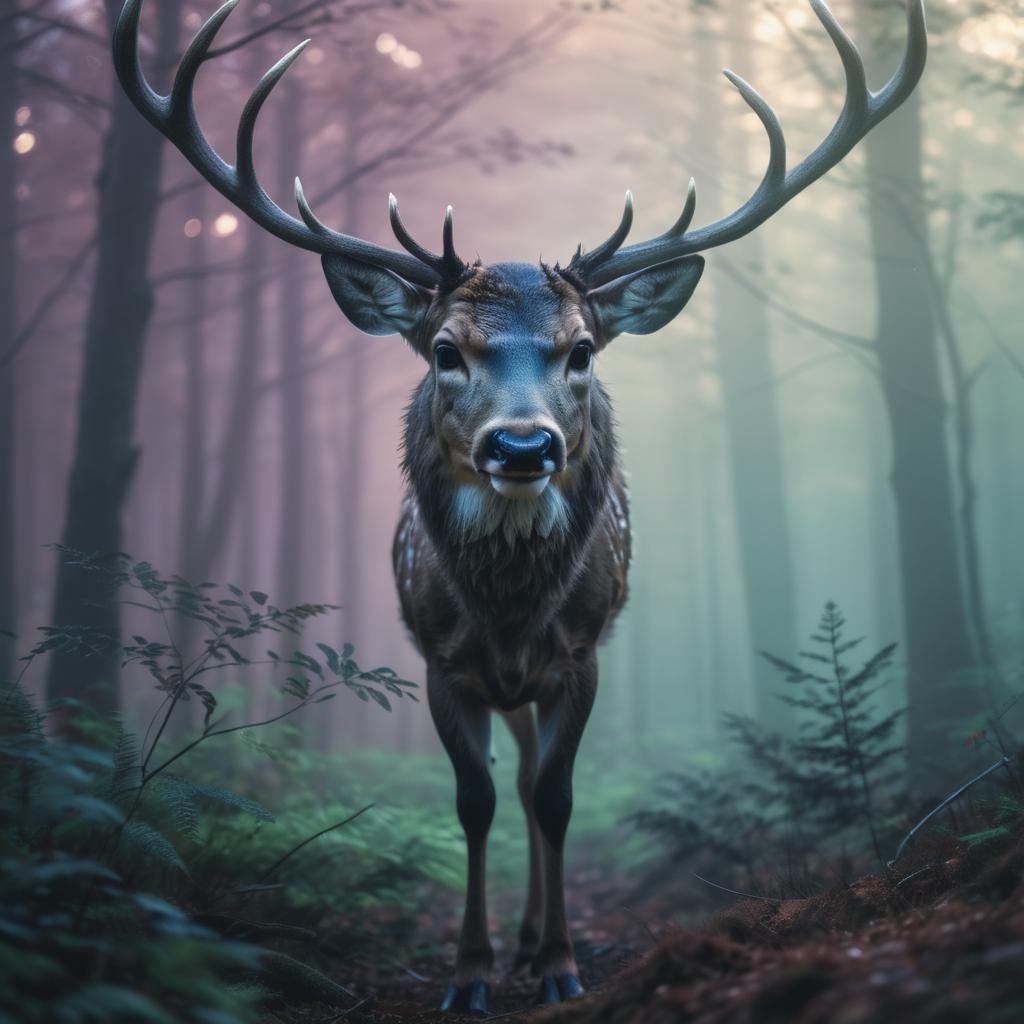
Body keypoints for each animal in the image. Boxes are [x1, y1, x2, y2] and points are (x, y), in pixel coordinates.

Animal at [114, 0, 926, 1012]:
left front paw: (562, 965)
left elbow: (554, 799)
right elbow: (476, 802)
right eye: (444, 350)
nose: (523, 447)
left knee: (540, 772)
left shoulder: (580, 656)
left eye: (581, 348)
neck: (506, 615)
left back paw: (540, 938)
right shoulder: (441, 661)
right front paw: (469, 972)